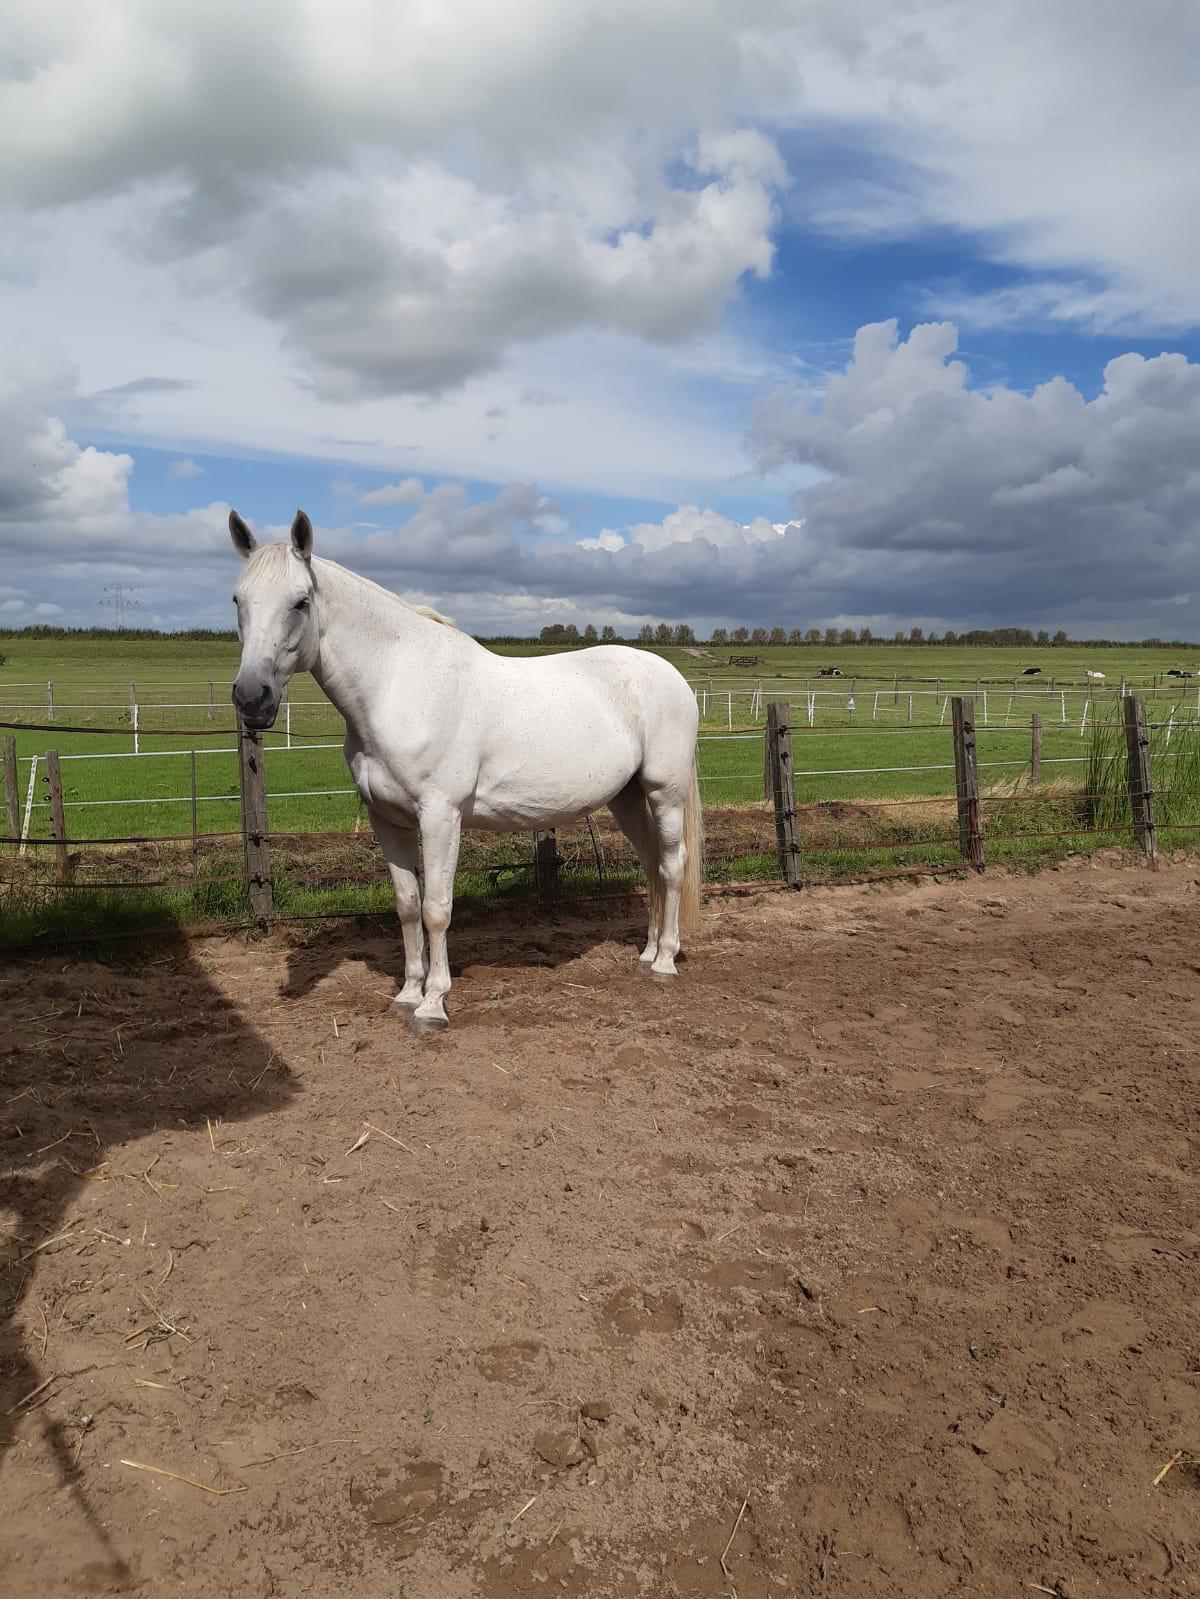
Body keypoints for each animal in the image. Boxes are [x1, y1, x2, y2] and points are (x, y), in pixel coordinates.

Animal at [227, 514, 704, 1036]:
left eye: (301, 601)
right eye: (238, 600)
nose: (251, 698)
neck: (400, 688)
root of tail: (673, 678)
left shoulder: (441, 816)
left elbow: (437, 909)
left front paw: (433, 1005)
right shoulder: (386, 820)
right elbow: (407, 905)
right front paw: (407, 994)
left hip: (664, 794)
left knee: (671, 866)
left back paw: (665, 962)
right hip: (626, 798)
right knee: (652, 866)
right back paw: (648, 953)